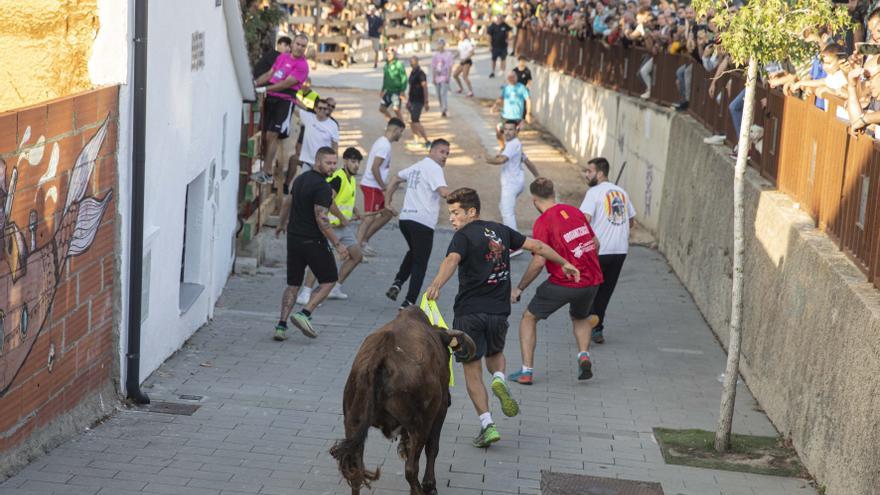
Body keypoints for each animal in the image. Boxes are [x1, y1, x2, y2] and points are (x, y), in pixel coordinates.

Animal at [330, 308, 478, 494]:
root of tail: (380, 357)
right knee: (411, 468)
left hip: (352, 423)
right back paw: (420, 489)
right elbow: (432, 448)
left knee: (355, 471)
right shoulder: (440, 410)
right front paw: (430, 485)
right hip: (420, 424)